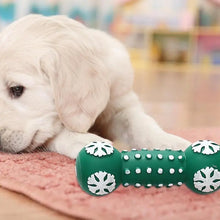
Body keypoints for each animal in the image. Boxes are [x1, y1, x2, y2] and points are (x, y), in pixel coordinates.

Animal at [0, 14, 190, 158]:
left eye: (16, 89)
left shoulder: (122, 105)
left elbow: (141, 124)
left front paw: (170, 142)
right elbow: (57, 131)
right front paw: (85, 141)